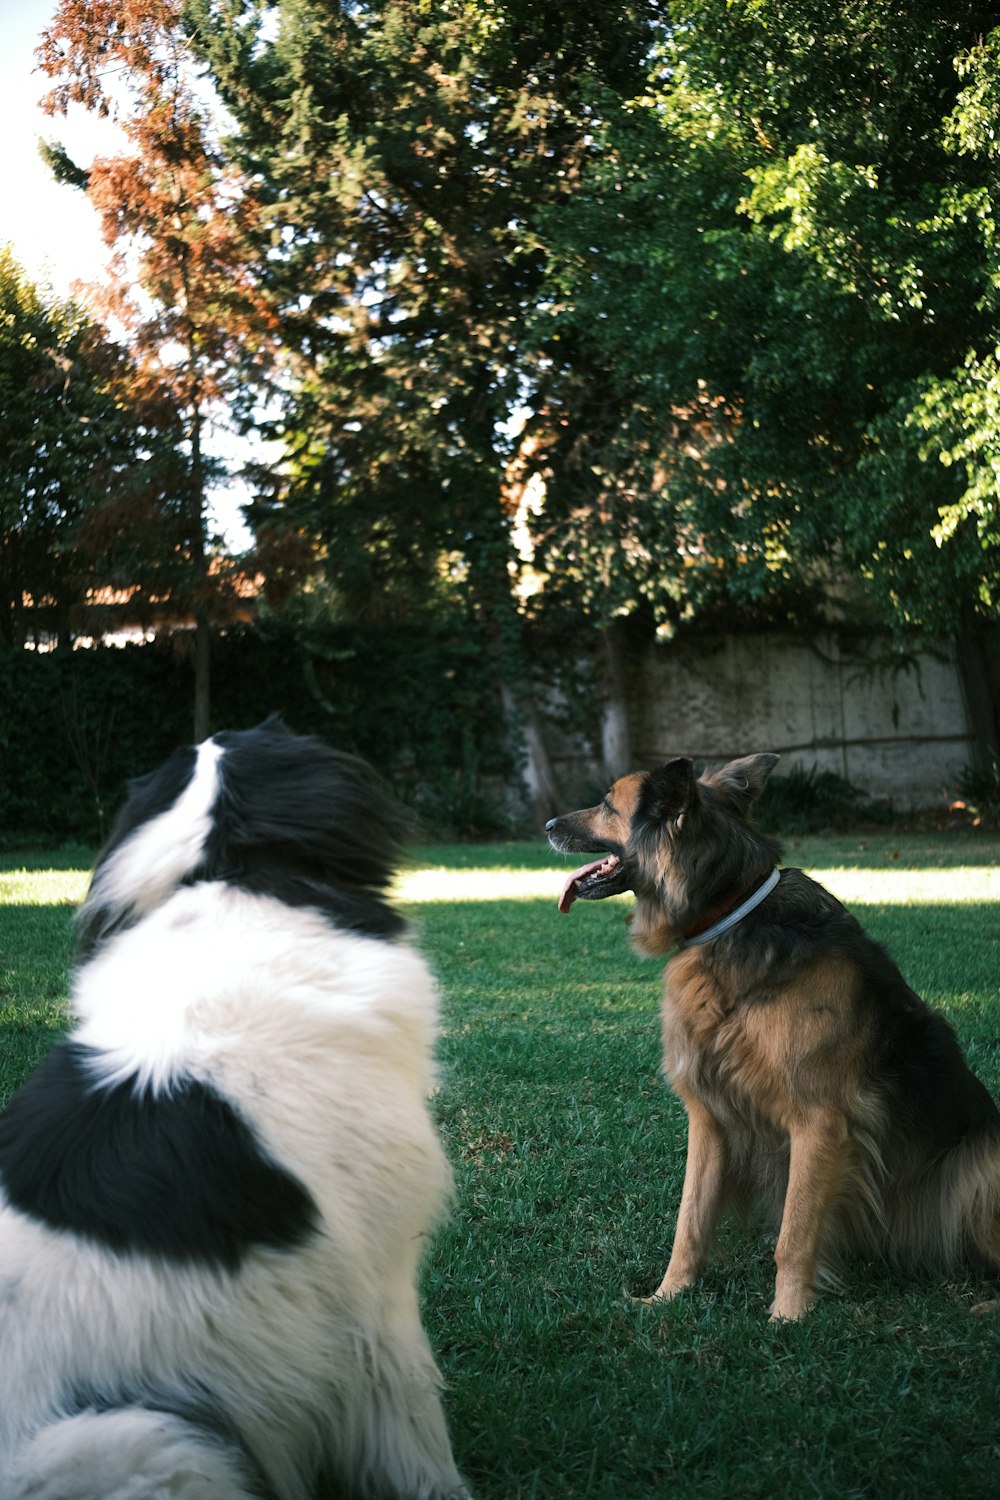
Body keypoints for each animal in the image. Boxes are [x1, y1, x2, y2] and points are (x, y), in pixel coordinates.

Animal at [548, 756, 1000, 1320]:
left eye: (608, 804)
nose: (547, 825)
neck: (727, 912)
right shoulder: (711, 1118)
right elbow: (689, 1223)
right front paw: (667, 1297)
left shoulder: (820, 1124)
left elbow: (795, 1235)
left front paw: (787, 1319)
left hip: (979, 1166)